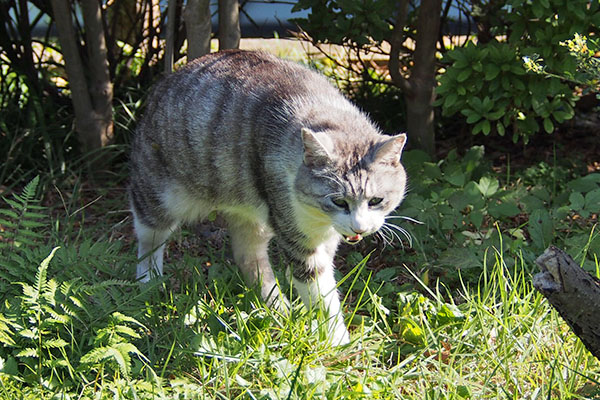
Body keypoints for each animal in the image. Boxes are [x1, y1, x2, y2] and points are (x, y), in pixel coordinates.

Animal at [127, 49, 408, 344]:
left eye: (376, 201)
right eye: (339, 201)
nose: (359, 228)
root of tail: (162, 85)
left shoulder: (324, 236)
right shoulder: (298, 237)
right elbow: (320, 293)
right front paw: (337, 341)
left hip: (253, 217)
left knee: (248, 257)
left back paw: (277, 308)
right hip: (157, 196)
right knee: (149, 240)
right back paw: (149, 282)